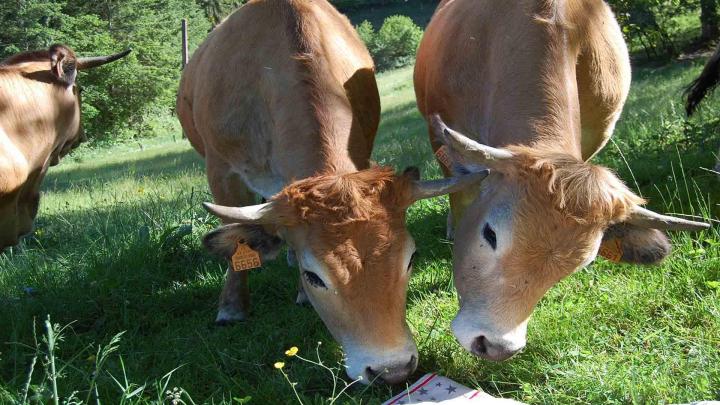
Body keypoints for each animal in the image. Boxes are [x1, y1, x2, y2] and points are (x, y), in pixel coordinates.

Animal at [176, 0, 485, 384]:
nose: (392, 369)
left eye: (411, 258)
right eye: (315, 276)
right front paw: (231, 307)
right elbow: (236, 246)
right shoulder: (221, 169)